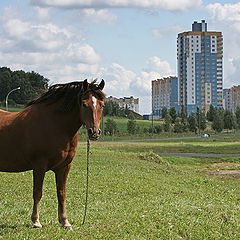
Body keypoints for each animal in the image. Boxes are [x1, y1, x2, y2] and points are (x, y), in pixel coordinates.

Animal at [0, 79, 105, 229]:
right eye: (84, 104)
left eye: (101, 105)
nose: (94, 132)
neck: (55, 124)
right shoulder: (39, 166)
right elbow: (37, 193)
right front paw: (36, 221)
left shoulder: (64, 167)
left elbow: (61, 193)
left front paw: (65, 221)